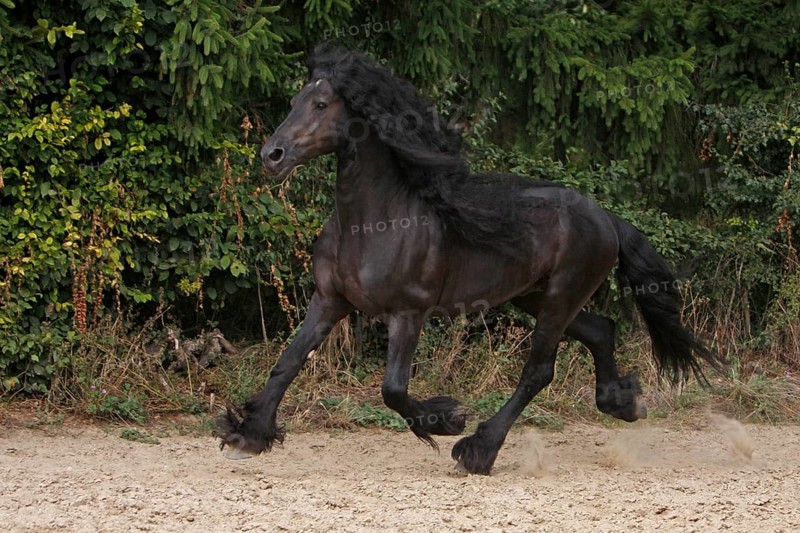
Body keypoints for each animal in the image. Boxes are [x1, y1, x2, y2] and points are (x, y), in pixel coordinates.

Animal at [216, 44, 724, 475]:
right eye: (296, 100)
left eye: (322, 105)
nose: (272, 155)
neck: (374, 222)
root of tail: (606, 218)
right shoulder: (329, 301)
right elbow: (288, 362)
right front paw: (247, 434)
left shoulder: (408, 313)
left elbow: (393, 390)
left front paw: (446, 419)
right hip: (533, 297)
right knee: (600, 330)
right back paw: (624, 403)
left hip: (561, 296)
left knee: (538, 370)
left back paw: (479, 450)